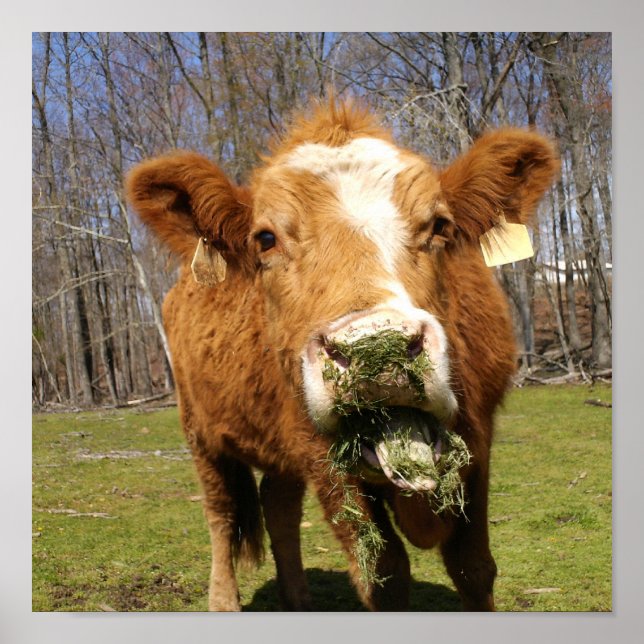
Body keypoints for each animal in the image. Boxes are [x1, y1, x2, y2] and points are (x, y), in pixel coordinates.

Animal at [126, 99, 558, 612]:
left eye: (440, 226)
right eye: (265, 238)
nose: (377, 350)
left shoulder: (480, 436)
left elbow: (474, 567)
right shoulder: (321, 456)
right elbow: (384, 573)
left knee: (279, 507)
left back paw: (299, 601)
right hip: (200, 431)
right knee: (221, 512)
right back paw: (224, 601)